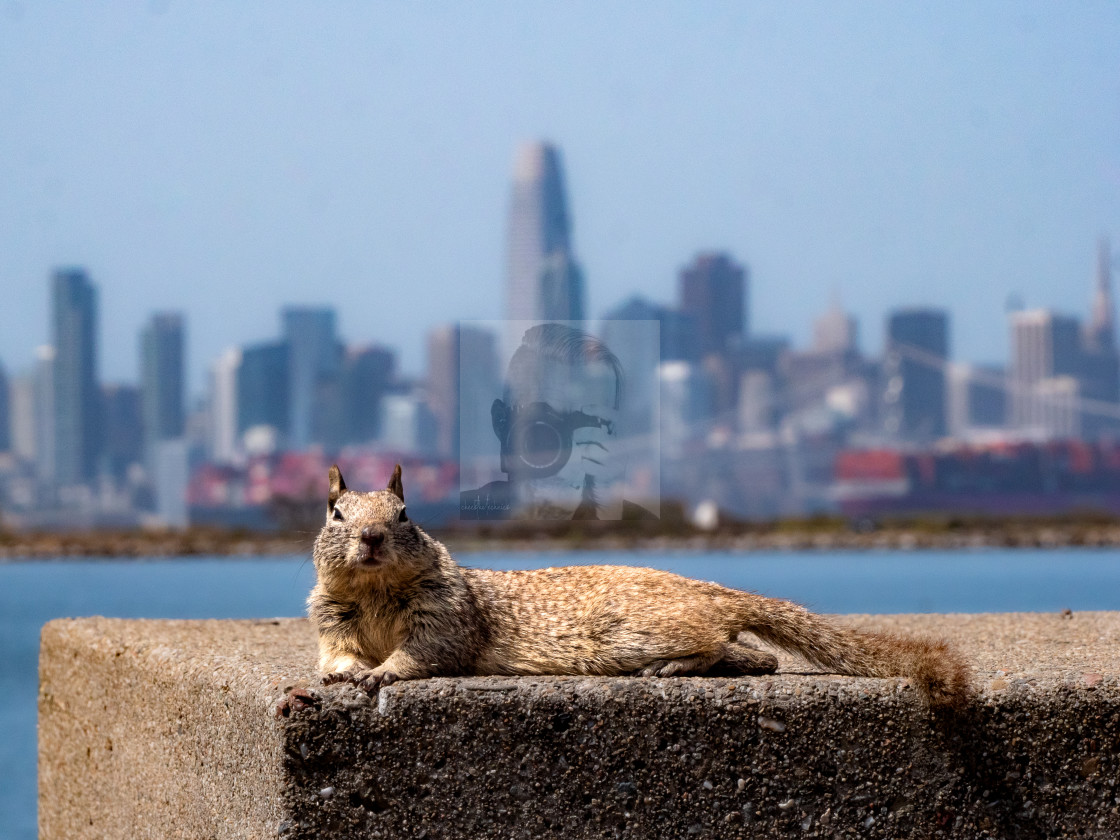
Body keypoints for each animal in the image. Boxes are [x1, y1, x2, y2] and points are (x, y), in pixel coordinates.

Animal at [309, 468, 972, 712]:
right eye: (336, 514)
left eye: (404, 514)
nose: (371, 536)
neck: (375, 592)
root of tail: (713, 588)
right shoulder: (332, 617)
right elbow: (334, 653)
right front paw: (344, 673)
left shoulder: (444, 614)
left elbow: (425, 652)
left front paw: (382, 672)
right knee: (757, 656)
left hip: (632, 633)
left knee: (725, 646)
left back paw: (678, 668)